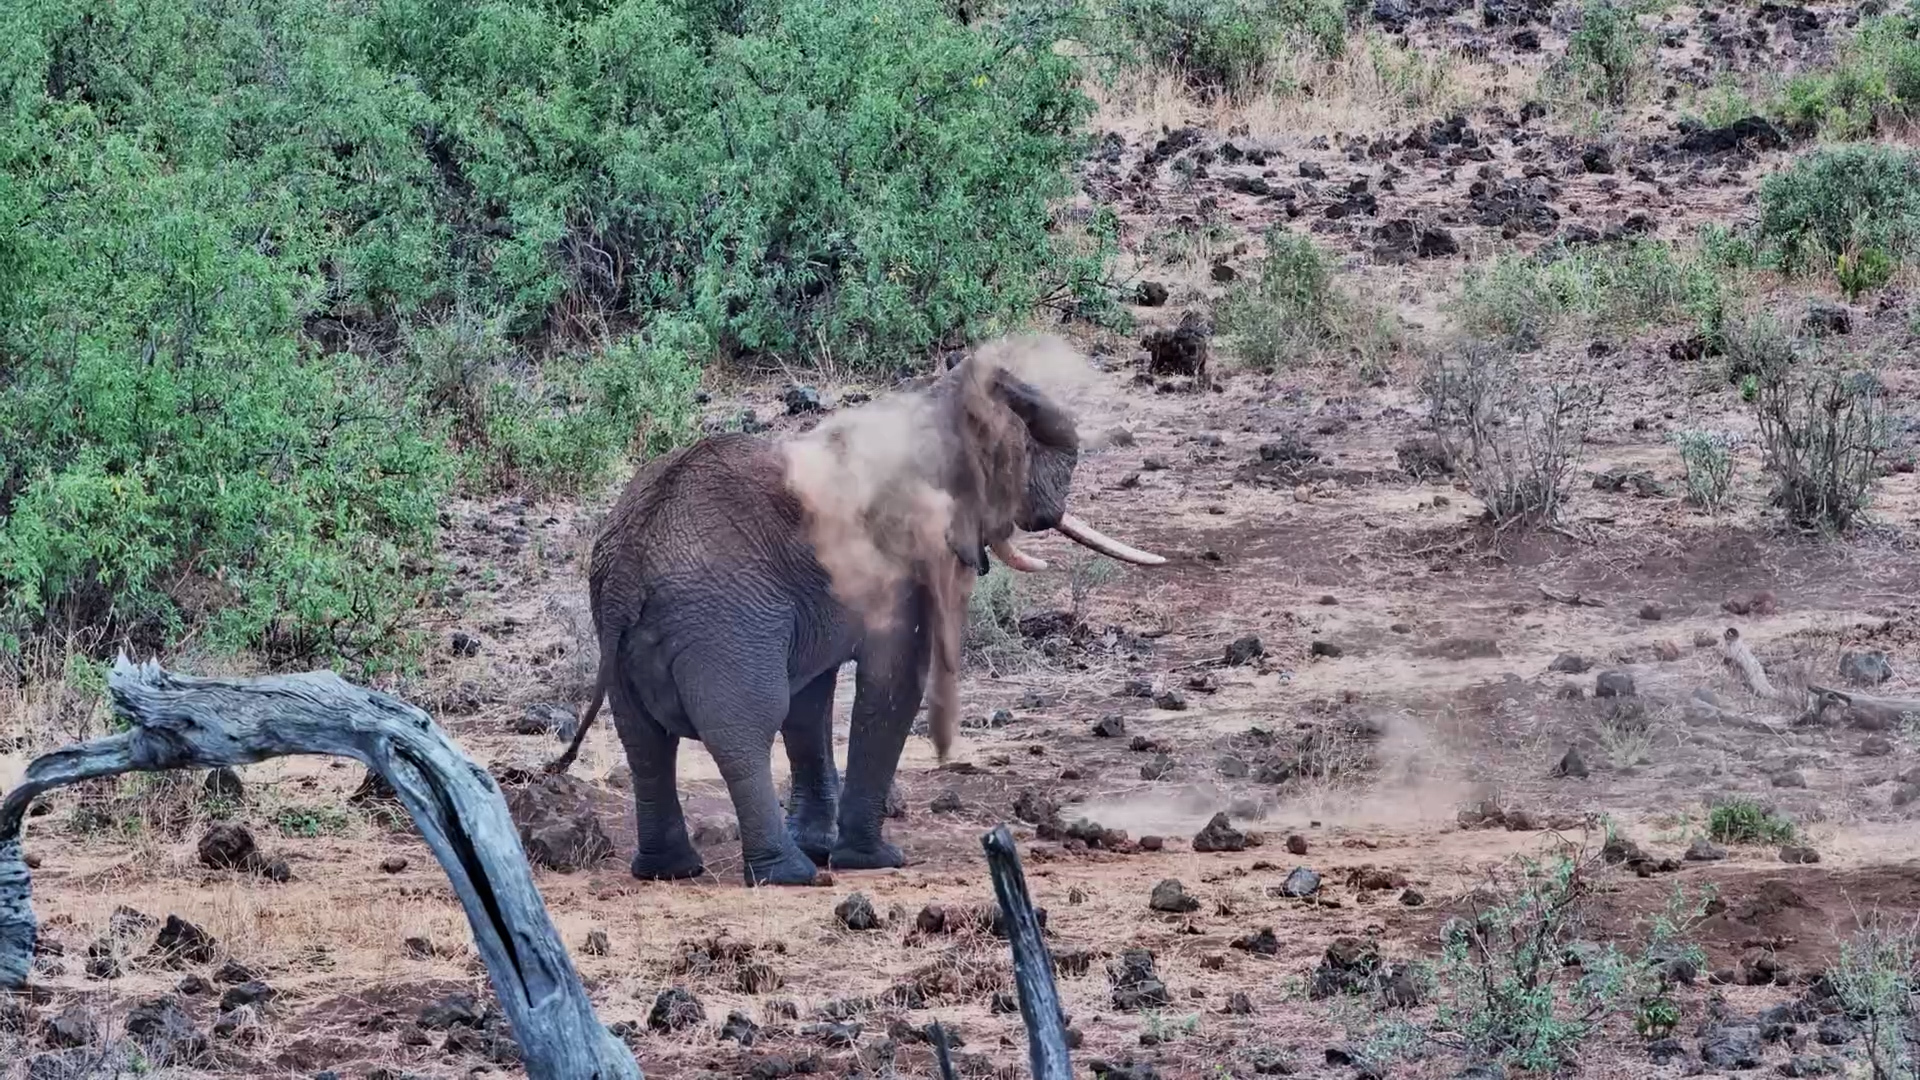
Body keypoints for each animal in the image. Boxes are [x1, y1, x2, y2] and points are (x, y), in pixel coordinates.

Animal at [546, 336, 1165, 885]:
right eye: (1016, 457)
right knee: (743, 728)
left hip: (630, 630)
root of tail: (629, 560)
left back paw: (671, 871)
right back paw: (787, 876)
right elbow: (891, 684)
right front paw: (874, 861)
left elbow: (810, 703)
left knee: (645, 740)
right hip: (721, 623)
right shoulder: (900, 566)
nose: (978, 367)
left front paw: (824, 846)